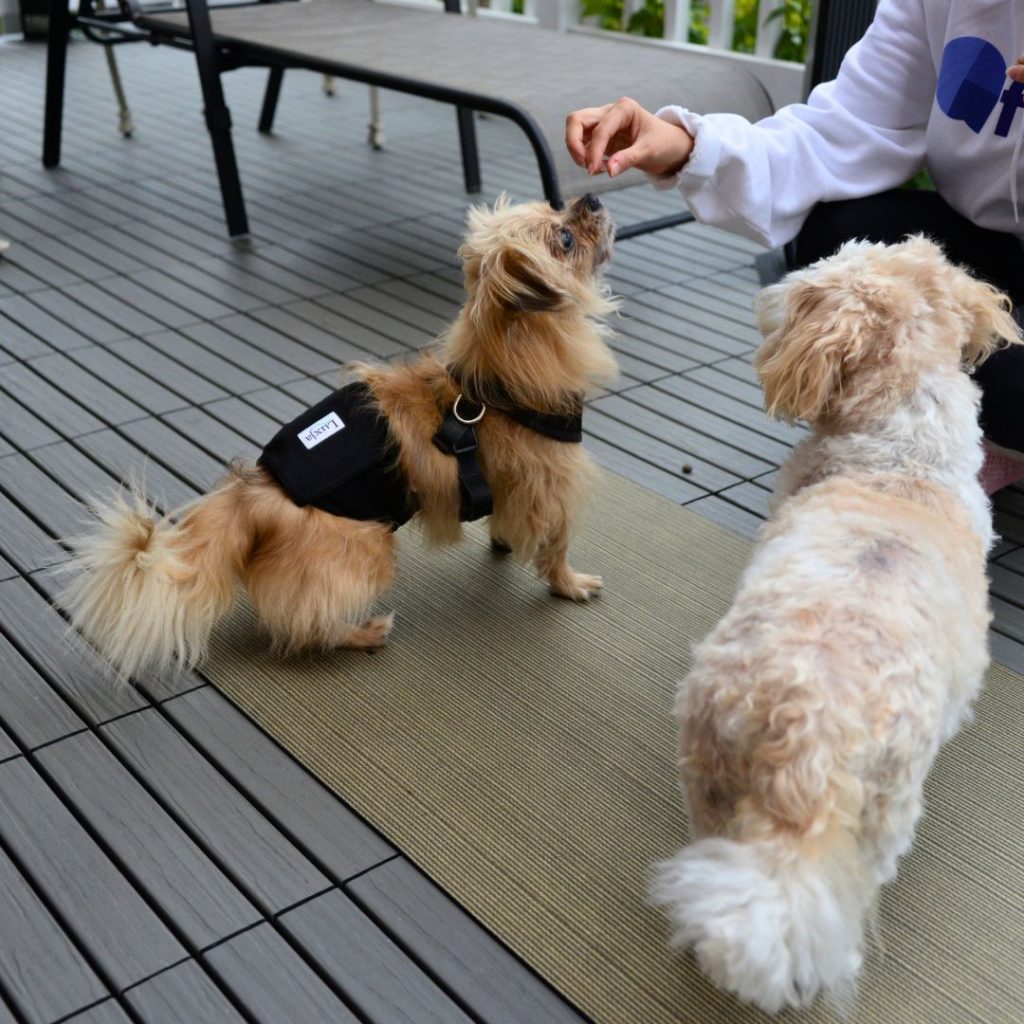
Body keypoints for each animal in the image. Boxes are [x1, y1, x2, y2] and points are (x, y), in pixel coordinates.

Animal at [64, 194, 618, 675]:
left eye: (555, 205)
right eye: (564, 238)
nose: (589, 197)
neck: (499, 379)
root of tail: (255, 494)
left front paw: (503, 542)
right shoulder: (551, 489)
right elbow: (556, 546)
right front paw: (569, 585)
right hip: (368, 548)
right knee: (305, 620)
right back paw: (362, 633)